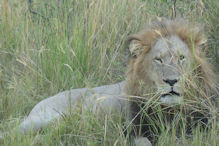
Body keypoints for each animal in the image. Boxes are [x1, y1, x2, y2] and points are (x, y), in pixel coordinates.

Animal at [0, 18, 217, 145]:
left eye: (181, 58)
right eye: (159, 60)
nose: (171, 81)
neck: (170, 110)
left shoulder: (201, 129)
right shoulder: (136, 131)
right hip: (46, 118)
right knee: (11, 132)